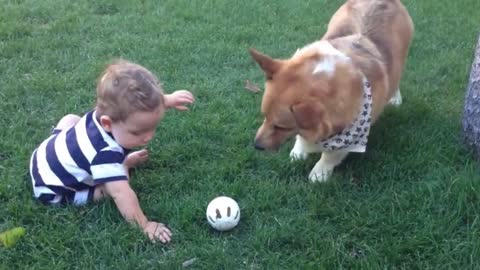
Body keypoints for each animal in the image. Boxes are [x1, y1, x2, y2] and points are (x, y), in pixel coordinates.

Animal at [251, 0, 412, 182]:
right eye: (265, 116)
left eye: (281, 127)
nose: (256, 146)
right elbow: (301, 137)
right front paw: (298, 152)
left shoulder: (348, 138)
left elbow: (329, 156)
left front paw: (318, 175)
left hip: (401, 58)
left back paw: (395, 98)